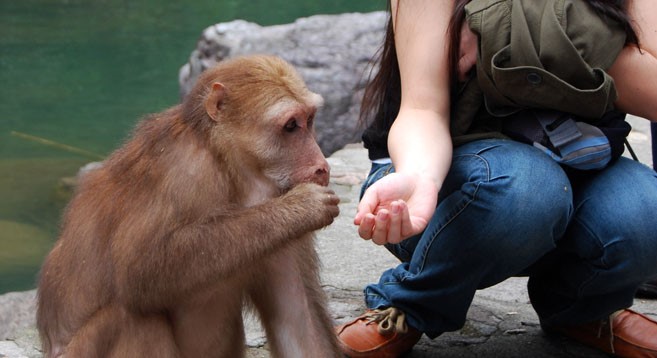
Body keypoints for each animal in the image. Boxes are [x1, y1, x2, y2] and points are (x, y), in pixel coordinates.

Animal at [34, 54, 344, 356]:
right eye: (291, 126)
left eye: (310, 119)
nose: (321, 166)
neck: (230, 167)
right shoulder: (186, 171)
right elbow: (138, 266)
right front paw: (301, 207)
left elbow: (298, 323)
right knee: (131, 314)